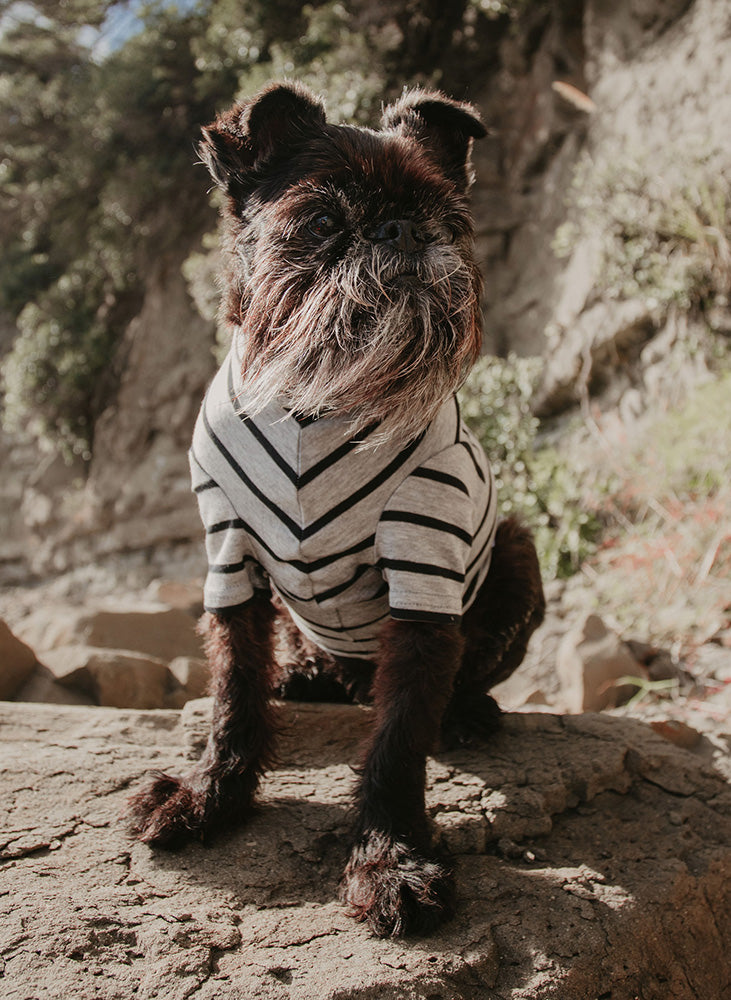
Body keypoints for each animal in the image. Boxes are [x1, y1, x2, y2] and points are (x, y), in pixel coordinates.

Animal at [129, 80, 548, 936]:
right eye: (322, 221)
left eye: (446, 219)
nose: (401, 229)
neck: (318, 398)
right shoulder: (230, 559)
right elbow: (232, 696)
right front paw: (209, 799)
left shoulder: (424, 568)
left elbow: (397, 739)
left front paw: (389, 860)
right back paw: (307, 676)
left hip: (518, 546)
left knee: (443, 681)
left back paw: (466, 711)